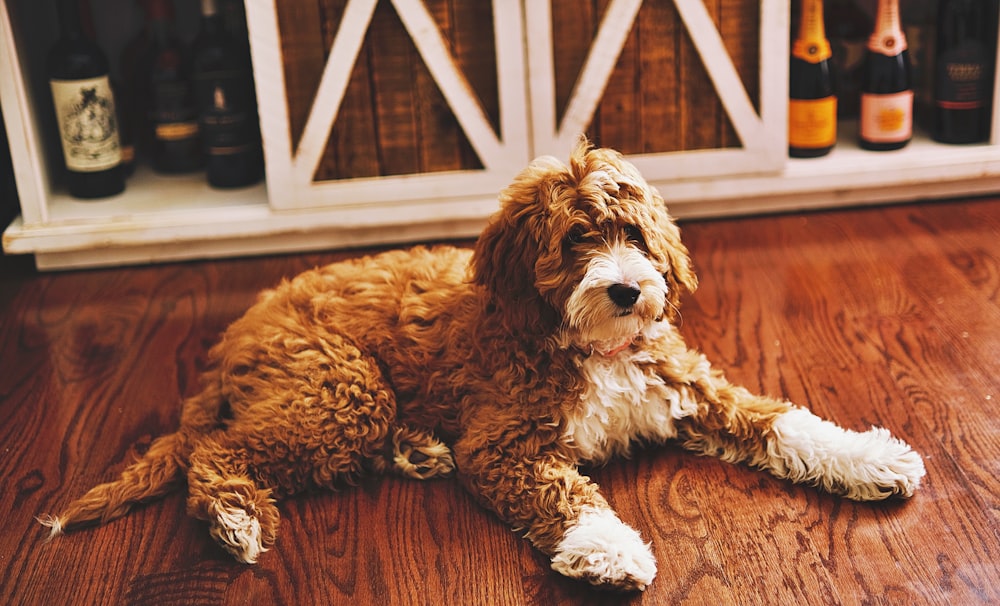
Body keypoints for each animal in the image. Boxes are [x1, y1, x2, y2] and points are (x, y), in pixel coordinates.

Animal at [41, 141, 928, 588]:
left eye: (634, 234)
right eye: (576, 241)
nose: (628, 288)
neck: (592, 346)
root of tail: (234, 335)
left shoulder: (694, 384)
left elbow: (784, 420)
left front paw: (872, 457)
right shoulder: (507, 443)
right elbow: (565, 490)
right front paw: (609, 549)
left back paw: (417, 449)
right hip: (339, 386)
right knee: (216, 450)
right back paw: (235, 520)